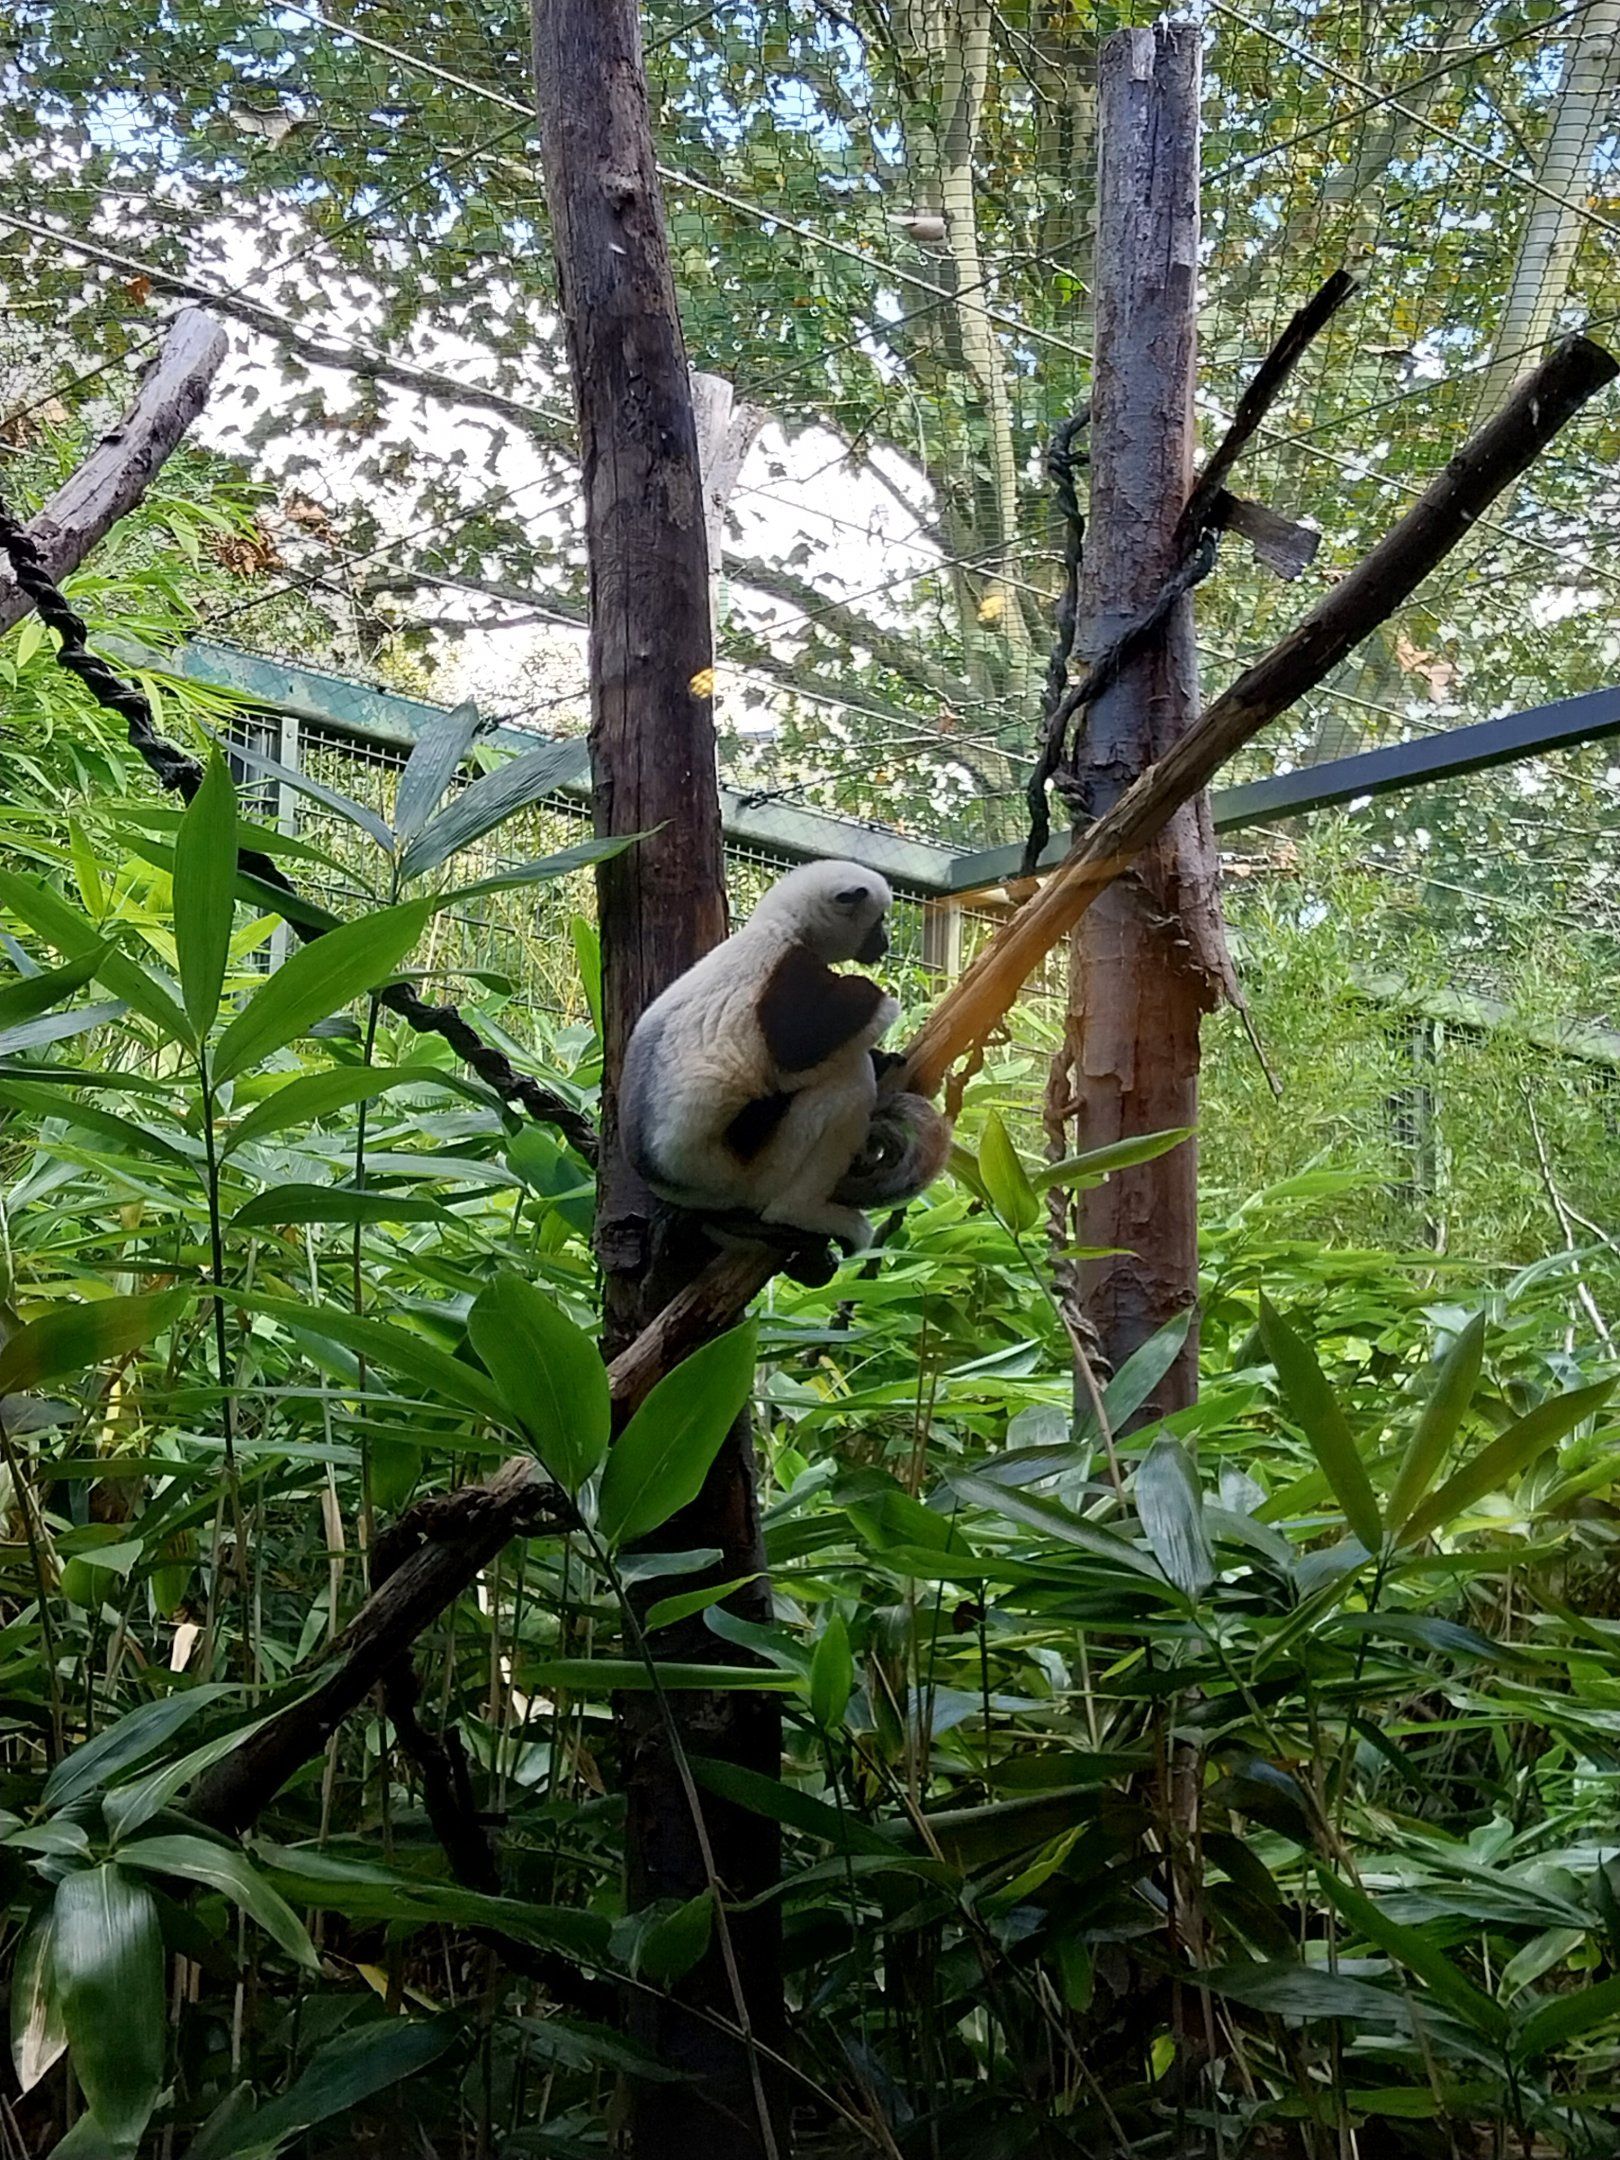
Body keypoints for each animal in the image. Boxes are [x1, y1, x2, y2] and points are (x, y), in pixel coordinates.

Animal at [619, 860, 951, 1257]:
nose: (884, 943)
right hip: (758, 1169)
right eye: (880, 921)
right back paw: (800, 1212)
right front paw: (877, 1029)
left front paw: (882, 1056)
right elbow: (798, 1050)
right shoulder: (790, 972)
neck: (782, 926)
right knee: (848, 1086)